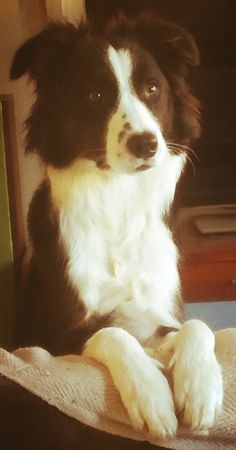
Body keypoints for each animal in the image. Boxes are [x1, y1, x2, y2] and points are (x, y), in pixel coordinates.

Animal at [11, 14, 224, 440]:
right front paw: (152, 394)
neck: (116, 200)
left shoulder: (160, 311)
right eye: (95, 95)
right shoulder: (62, 337)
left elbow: (197, 324)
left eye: (152, 89)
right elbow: (113, 333)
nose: (147, 144)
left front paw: (200, 388)